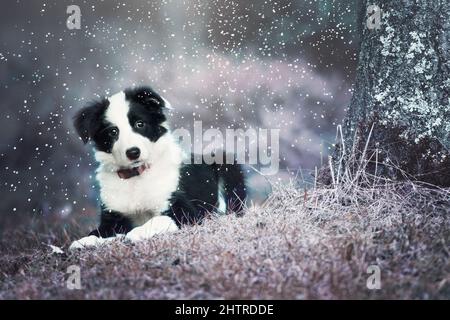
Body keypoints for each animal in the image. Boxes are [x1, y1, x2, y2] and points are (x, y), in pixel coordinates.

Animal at [69, 86, 246, 249]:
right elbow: (98, 231)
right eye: (113, 132)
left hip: (226, 162)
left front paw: (136, 232)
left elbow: (157, 219)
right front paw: (84, 241)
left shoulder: (185, 210)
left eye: (140, 124)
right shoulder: (112, 214)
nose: (133, 152)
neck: (136, 177)